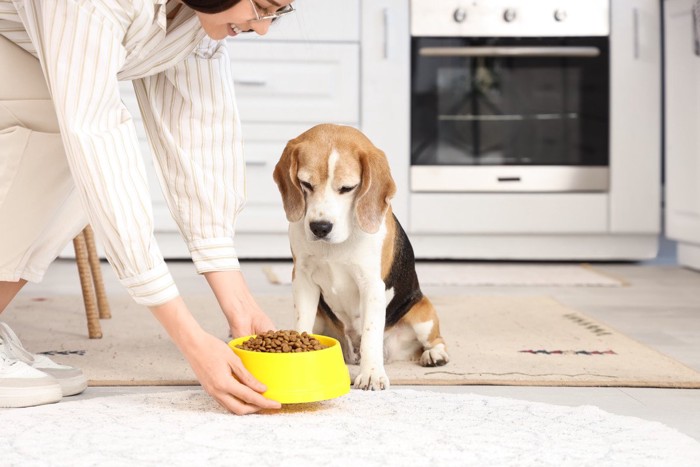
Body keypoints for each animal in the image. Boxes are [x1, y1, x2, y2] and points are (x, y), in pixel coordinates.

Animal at [272, 122, 448, 390]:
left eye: (347, 188)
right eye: (305, 184)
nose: (320, 227)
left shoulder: (371, 285)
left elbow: (371, 333)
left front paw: (372, 374)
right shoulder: (302, 278)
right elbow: (302, 324)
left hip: (422, 313)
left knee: (435, 340)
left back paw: (434, 355)